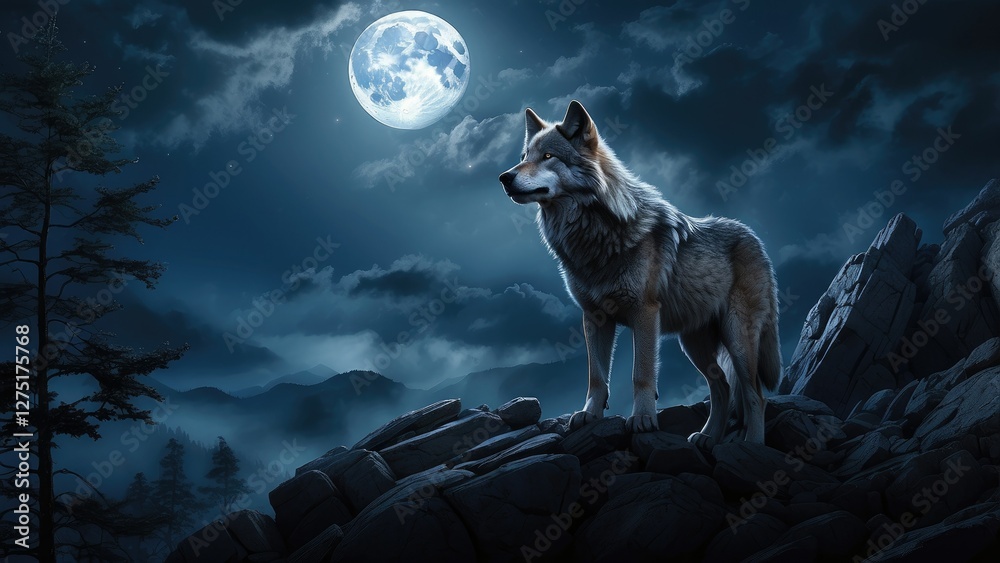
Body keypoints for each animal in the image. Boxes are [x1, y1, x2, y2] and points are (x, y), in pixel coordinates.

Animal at [499, 100, 781, 444]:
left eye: (549, 156)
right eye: (523, 157)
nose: (504, 177)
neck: (595, 235)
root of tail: (754, 238)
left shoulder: (644, 314)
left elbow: (641, 374)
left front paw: (643, 419)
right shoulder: (594, 317)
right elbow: (596, 376)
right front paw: (589, 415)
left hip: (737, 337)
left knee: (755, 394)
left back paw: (752, 444)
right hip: (694, 344)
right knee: (722, 387)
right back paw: (707, 437)